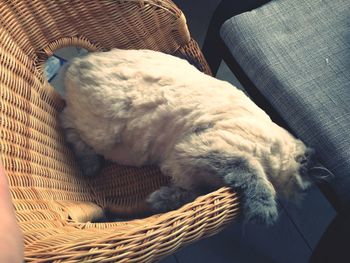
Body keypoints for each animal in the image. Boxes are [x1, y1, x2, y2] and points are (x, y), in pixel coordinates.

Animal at [59, 49, 314, 227]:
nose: (304, 199)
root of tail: (78, 61)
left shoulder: (190, 170)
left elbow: (191, 195)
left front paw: (160, 201)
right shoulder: (202, 150)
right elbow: (252, 171)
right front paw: (265, 211)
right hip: (103, 133)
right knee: (66, 123)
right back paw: (90, 166)